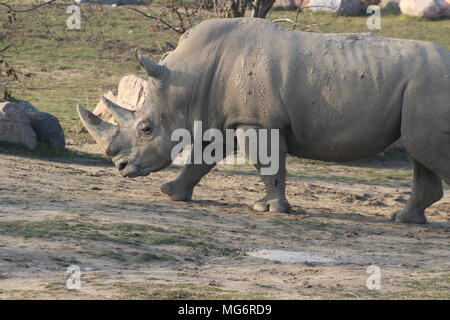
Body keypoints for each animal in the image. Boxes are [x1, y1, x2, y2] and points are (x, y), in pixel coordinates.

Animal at [77, 17, 450, 222]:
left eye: (145, 129)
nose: (121, 168)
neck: (188, 82)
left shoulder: (258, 121)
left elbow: (266, 164)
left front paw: (267, 209)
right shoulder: (229, 117)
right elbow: (203, 157)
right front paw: (171, 193)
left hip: (430, 85)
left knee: (426, 152)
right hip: (420, 90)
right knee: (421, 152)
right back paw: (403, 219)